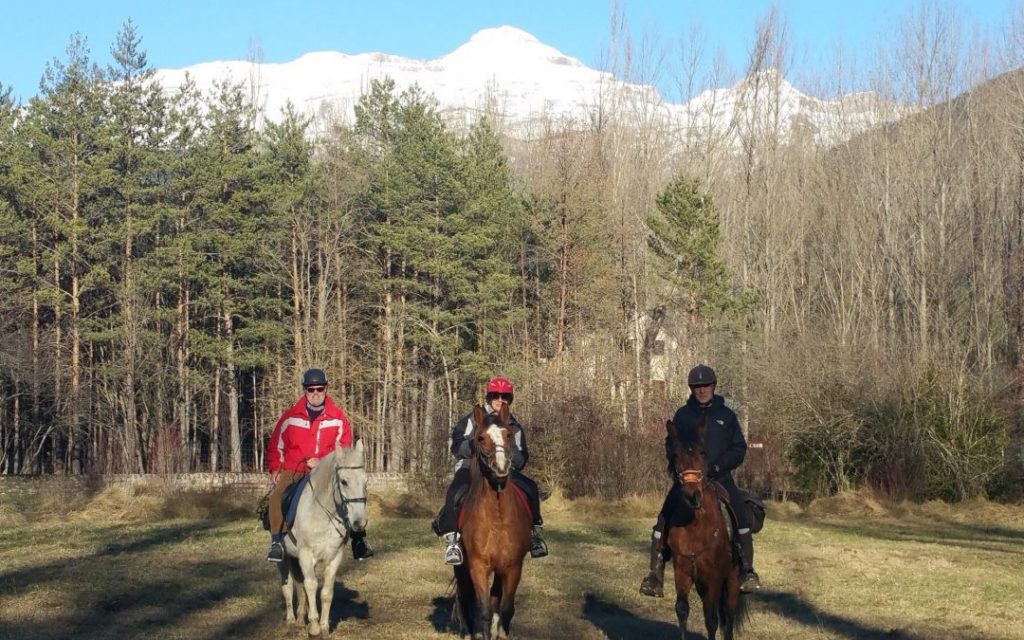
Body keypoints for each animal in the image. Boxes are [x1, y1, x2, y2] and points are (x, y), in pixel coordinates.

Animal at [276, 438, 368, 634]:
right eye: (344, 481)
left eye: (366, 481)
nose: (360, 522)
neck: (324, 514)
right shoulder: (305, 554)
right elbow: (311, 585)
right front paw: (314, 627)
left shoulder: (335, 557)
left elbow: (326, 592)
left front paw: (324, 626)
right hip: (284, 558)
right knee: (287, 586)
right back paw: (291, 619)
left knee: (299, 585)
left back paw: (300, 618)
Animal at [456, 401, 536, 634]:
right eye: (480, 438)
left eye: (508, 435)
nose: (501, 467)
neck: (497, 516)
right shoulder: (478, 567)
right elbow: (482, 609)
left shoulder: (512, 567)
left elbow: (506, 609)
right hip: (461, 567)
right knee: (466, 600)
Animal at [663, 417, 745, 634]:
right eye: (676, 455)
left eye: (702, 453)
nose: (693, 496)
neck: (695, 525)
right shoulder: (682, 573)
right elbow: (682, 609)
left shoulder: (714, 579)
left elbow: (711, 620)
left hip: (732, 581)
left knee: (728, 616)